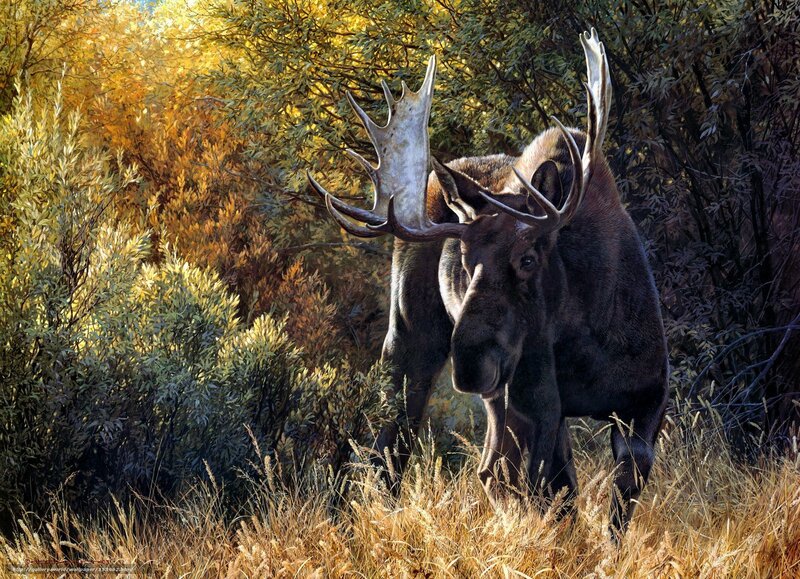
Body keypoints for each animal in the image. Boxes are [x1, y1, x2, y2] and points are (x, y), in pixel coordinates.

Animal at [307, 29, 668, 537]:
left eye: (529, 258)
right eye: (463, 261)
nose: (470, 363)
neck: (588, 333)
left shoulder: (646, 398)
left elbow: (610, 503)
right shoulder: (532, 401)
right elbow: (543, 485)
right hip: (414, 339)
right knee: (398, 440)